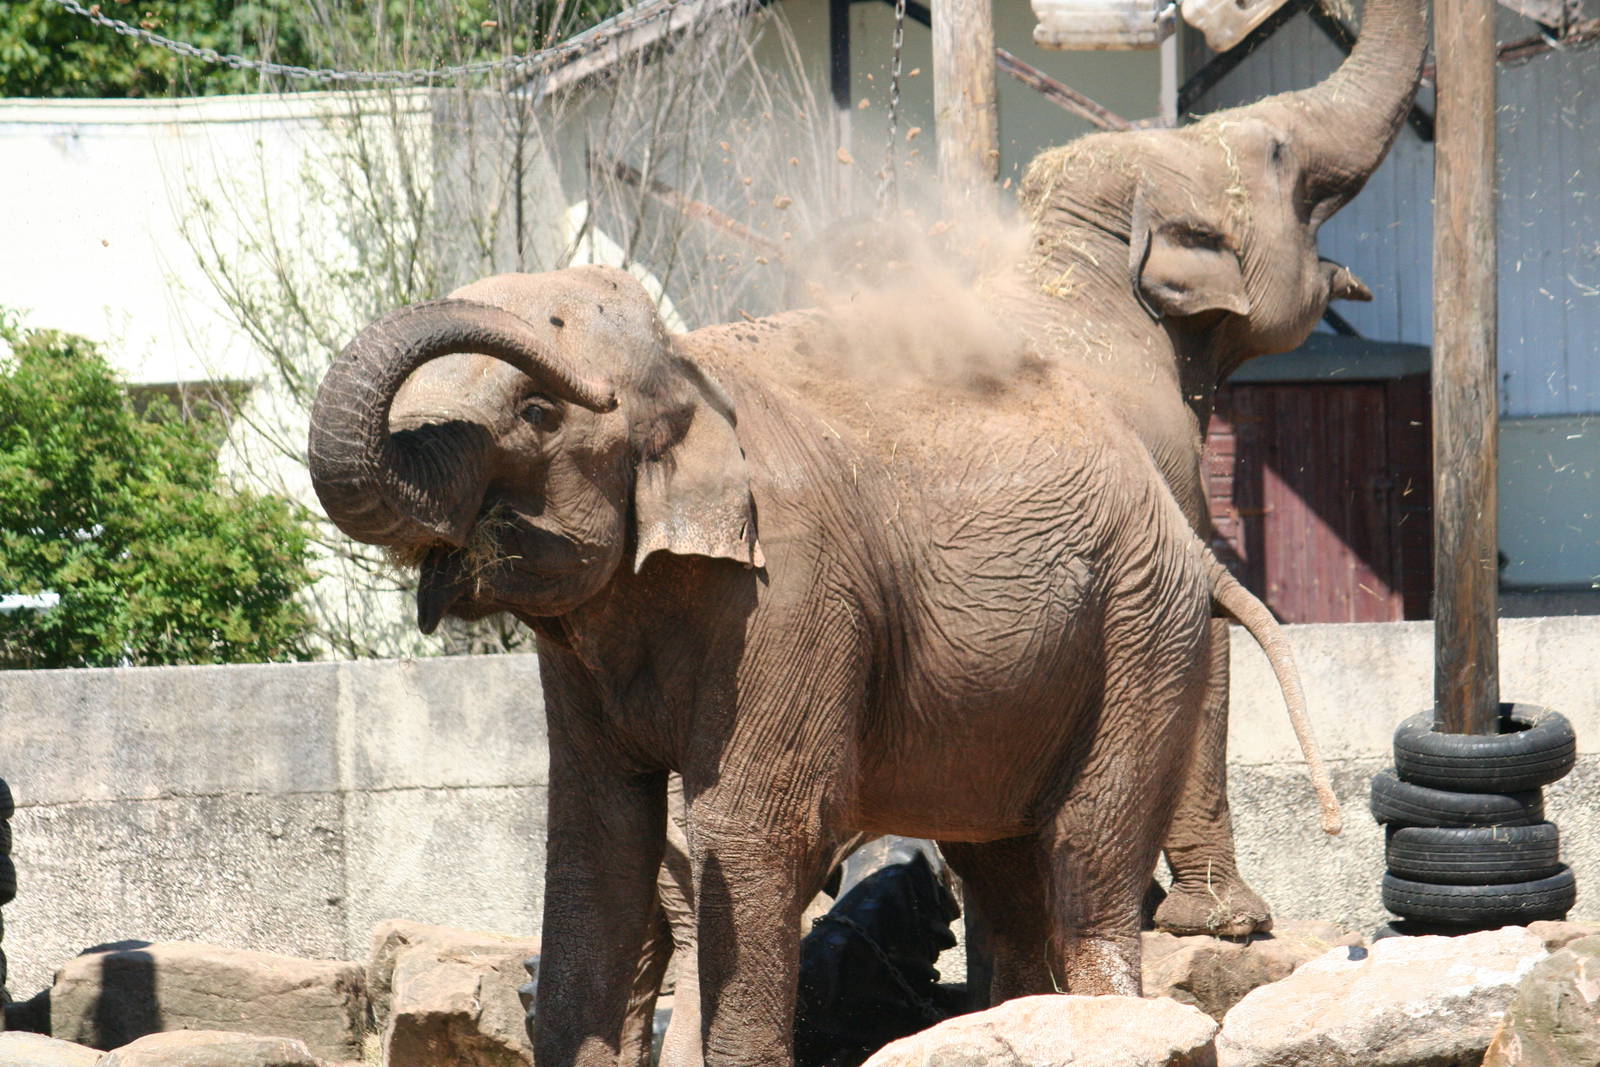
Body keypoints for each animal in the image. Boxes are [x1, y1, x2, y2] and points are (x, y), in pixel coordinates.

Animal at [307, 263, 1340, 1066]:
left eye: (536, 409)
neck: (689, 376)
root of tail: (1190, 536)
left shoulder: (794, 592)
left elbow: (755, 829)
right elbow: (596, 838)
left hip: (1143, 626)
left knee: (1085, 857)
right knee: (1001, 867)